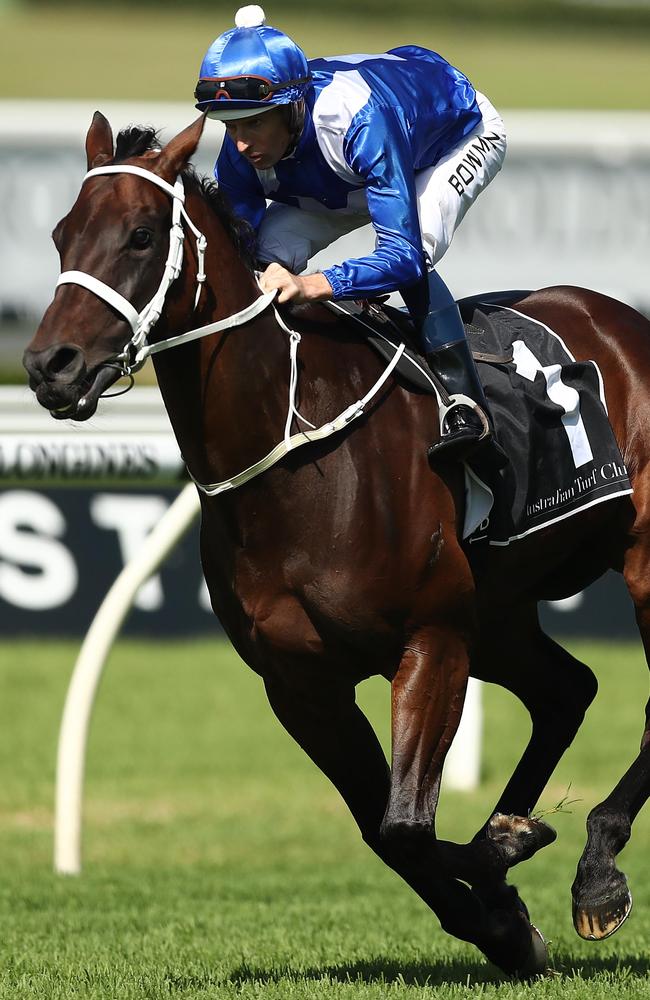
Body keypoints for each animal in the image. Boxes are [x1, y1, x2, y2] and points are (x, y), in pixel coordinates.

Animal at [22, 111, 648, 976]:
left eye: (142, 236)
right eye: (61, 233)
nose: (49, 365)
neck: (297, 460)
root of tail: (624, 319)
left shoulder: (433, 638)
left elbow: (406, 825)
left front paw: (508, 857)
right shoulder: (301, 684)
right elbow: (386, 833)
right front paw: (504, 917)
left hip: (629, 566)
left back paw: (596, 872)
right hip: (499, 615)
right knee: (567, 690)